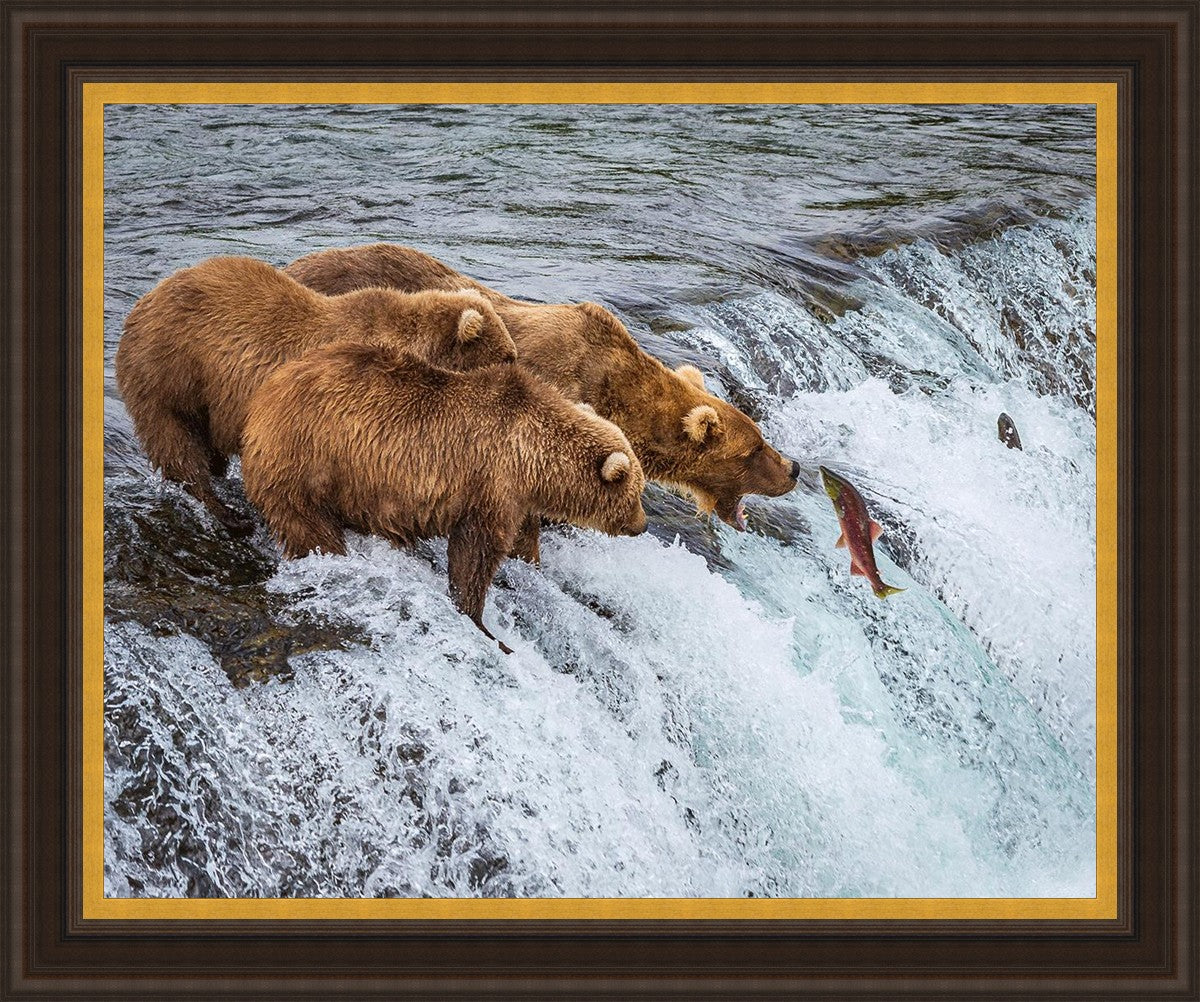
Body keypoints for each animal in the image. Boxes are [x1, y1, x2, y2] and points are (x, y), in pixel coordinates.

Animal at [115, 255, 517, 532]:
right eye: (508, 356)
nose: (519, 372)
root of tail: (142, 302)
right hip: (171, 372)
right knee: (176, 443)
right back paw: (227, 513)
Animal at [240, 339, 648, 653]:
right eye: (636, 493)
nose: (642, 525)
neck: (532, 457)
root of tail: (262, 398)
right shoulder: (490, 482)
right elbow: (475, 553)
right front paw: (482, 623)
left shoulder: (515, 498)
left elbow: (520, 541)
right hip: (307, 460)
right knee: (310, 527)